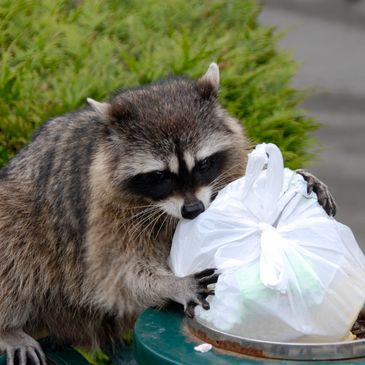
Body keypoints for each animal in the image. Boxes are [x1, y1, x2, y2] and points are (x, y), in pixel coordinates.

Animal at [0, 64, 336, 362]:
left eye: (203, 164)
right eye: (160, 176)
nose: (193, 210)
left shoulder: (229, 163)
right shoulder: (104, 211)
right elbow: (117, 274)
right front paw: (172, 283)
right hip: (21, 209)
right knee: (16, 247)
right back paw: (9, 327)